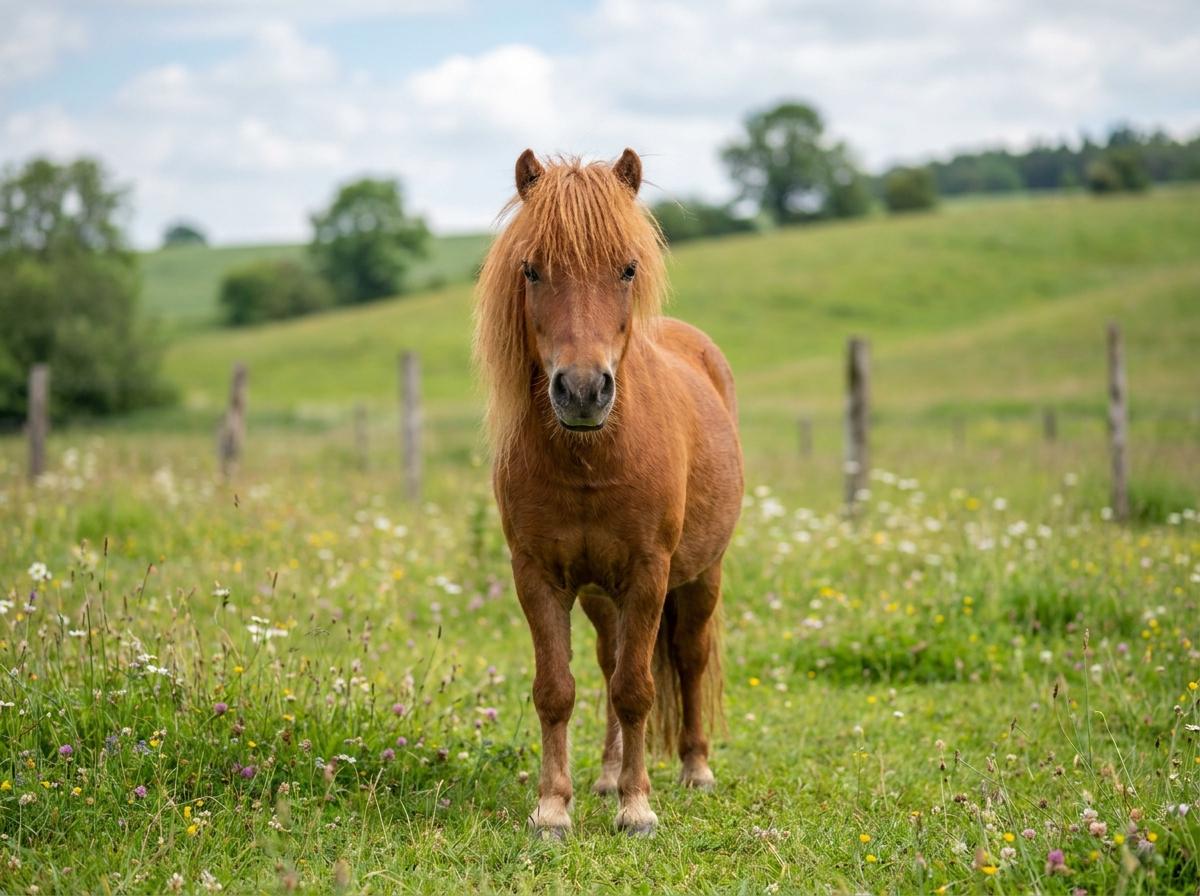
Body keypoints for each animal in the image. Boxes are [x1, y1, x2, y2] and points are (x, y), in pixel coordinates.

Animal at [474, 148, 743, 836]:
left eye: (627, 267)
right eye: (532, 269)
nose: (582, 390)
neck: (590, 463)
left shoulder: (650, 573)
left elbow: (636, 689)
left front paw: (638, 806)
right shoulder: (538, 575)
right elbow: (558, 689)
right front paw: (554, 807)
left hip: (700, 577)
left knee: (687, 658)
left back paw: (695, 769)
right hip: (601, 596)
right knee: (606, 658)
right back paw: (604, 774)